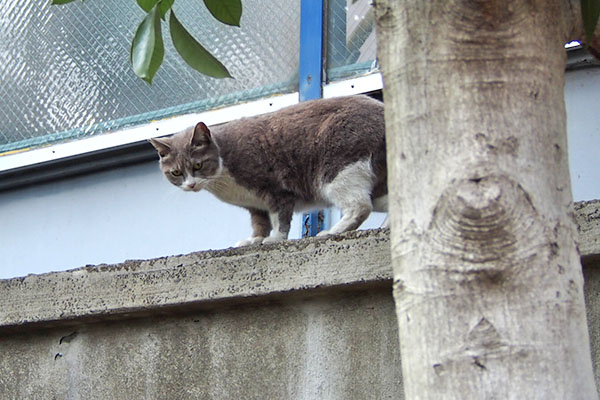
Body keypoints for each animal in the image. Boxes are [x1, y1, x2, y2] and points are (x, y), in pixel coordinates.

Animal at [150, 94, 390, 247]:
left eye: (197, 165)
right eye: (176, 173)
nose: (190, 184)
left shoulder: (276, 189)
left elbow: (279, 220)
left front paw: (274, 239)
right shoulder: (255, 204)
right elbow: (260, 223)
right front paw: (254, 240)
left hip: (339, 169)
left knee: (360, 206)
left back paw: (332, 231)